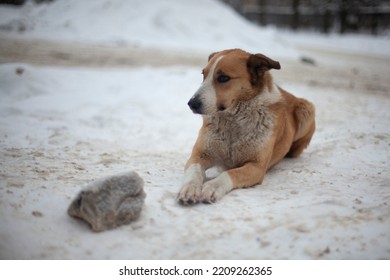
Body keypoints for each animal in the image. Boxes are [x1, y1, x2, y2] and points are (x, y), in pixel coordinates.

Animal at [177, 49, 314, 205]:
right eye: (203, 75)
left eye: (223, 78)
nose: (191, 104)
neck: (233, 122)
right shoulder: (199, 154)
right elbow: (194, 171)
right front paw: (189, 188)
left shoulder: (256, 167)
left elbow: (230, 173)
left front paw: (212, 187)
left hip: (306, 108)